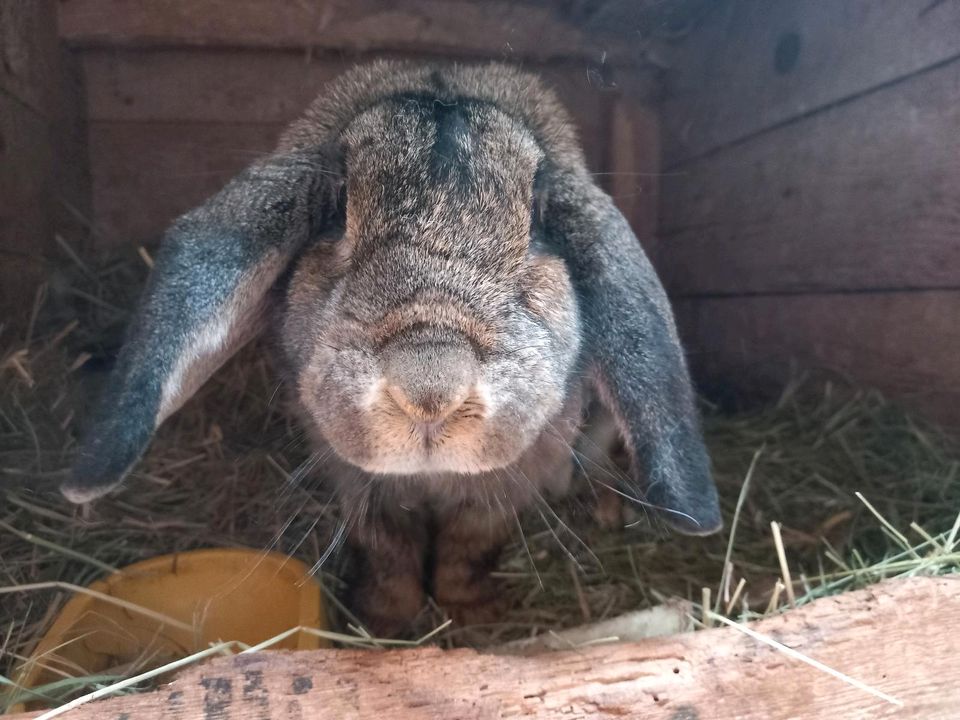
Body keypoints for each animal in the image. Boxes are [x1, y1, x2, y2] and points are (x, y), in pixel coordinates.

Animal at [62, 60, 720, 636]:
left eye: (536, 226)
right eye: (335, 213)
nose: (430, 390)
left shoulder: (504, 485)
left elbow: (468, 547)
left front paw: (473, 613)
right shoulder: (358, 484)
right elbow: (389, 552)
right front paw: (384, 619)